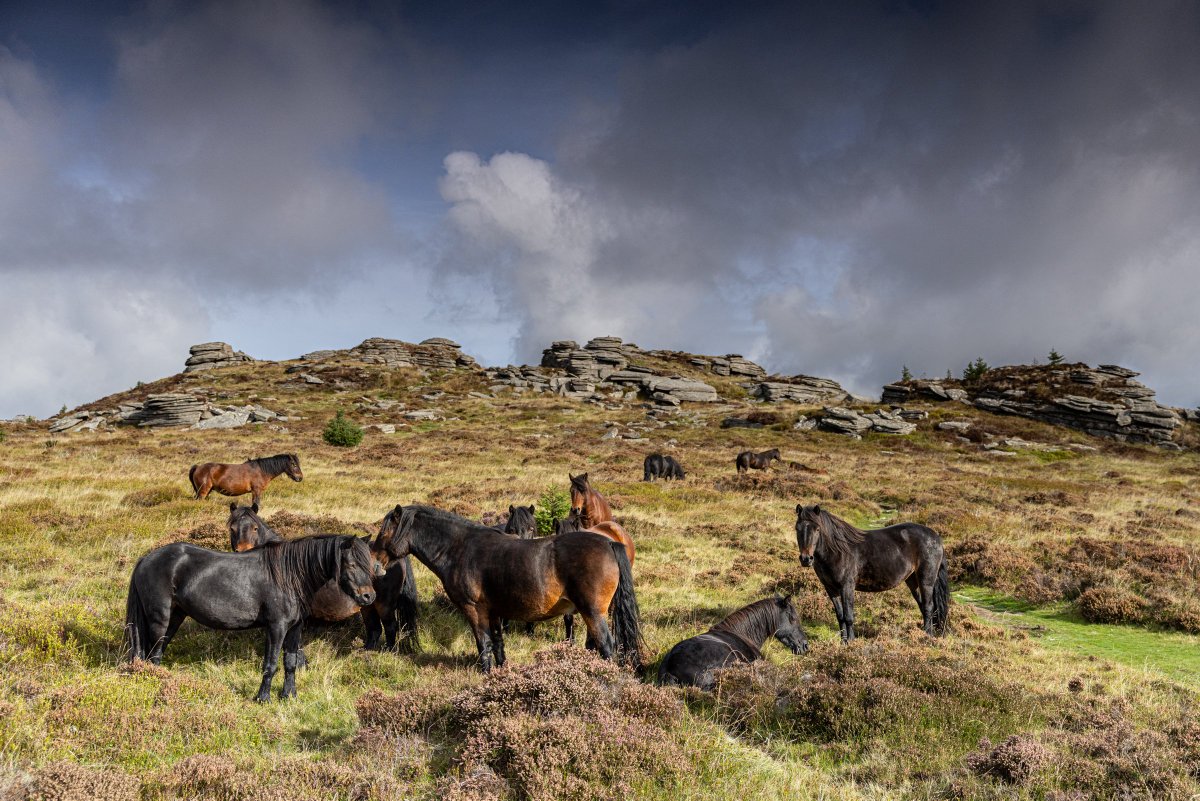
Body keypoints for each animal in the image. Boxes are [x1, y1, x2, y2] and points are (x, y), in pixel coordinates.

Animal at [124, 533, 378, 702]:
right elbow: (271, 663)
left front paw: (289, 696)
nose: (369, 596)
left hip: (175, 617)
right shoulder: (276, 627)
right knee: (153, 652)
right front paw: (263, 698)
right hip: (160, 618)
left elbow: (291, 662)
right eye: (352, 564)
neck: (289, 576)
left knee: (156, 652)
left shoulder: (295, 628)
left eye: (369, 563)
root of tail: (146, 559)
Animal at [227, 503, 419, 653]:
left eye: (255, 528)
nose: (242, 551)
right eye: (232, 528)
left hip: (384, 605)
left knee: (390, 628)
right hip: (367, 605)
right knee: (374, 630)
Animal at [373, 504, 643, 673]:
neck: (460, 549)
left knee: (607, 647)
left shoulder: (474, 610)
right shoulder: (493, 612)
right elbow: (498, 643)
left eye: (384, 532)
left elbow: (483, 644)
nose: (374, 564)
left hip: (593, 613)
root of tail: (609, 543)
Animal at [794, 504, 949, 641]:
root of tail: (936, 538)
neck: (838, 551)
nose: (806, 559)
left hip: (926, 580)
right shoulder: (831, 589)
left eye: (817, 529)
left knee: (928, 607)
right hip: (912, 581)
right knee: (923, 606)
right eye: (797, 528)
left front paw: (851, 641)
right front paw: (843, 642)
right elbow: (840, 616)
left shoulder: (847, 586)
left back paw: (927, 636)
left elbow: (848, 616)